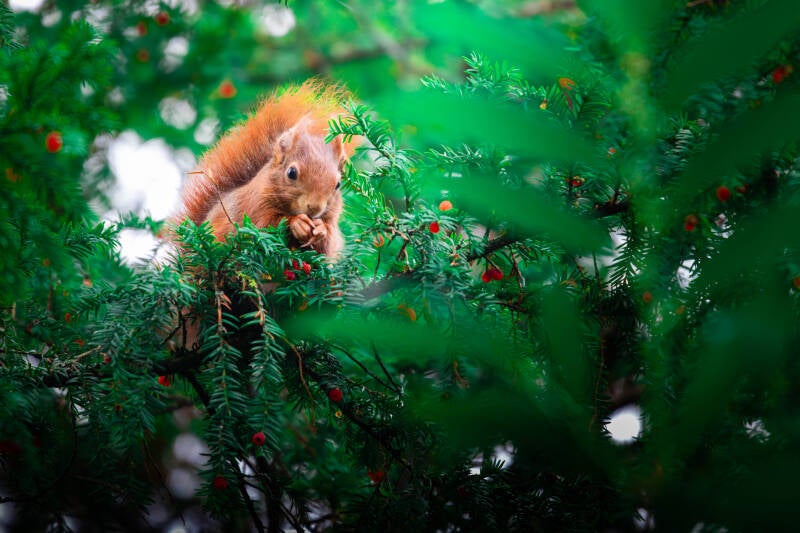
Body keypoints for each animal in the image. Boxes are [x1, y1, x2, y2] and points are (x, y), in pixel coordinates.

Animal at [176, 79, 359, 257]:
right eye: (291, 173)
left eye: (338, 184)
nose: (314, 208)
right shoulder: (255, 205)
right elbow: (264, 227)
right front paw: (297, 223)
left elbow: (326, 245)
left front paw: (321, 230)